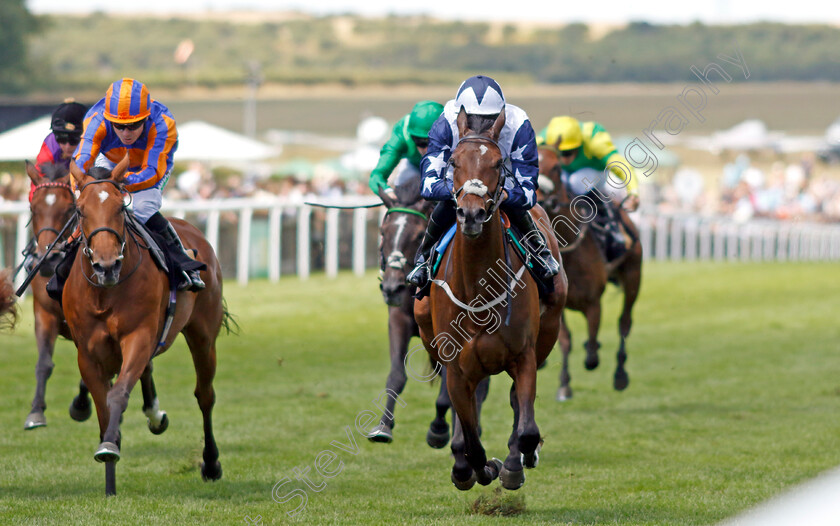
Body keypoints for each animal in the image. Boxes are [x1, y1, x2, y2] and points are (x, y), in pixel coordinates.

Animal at [21, 163, 92, 432]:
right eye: (33, 208)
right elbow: (44, 363)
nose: (48, 259)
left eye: (70, 209)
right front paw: (36, 412)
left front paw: (80, 406)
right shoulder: (44, 313)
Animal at [66, 159, 230, 498]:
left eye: (120, 207)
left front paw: (110, 448)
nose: (106, 266)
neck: (105, 293)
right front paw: (109, 471)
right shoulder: (87, 352)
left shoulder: (138, 337)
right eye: (81, 210)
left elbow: (117, 394)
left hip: (204, 336)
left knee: (205, 395)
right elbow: (103, 407)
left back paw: (210, 463)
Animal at [370, 200, 488, 448]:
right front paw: (384, 426)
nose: (391, 288)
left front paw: (439, 429)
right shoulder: (399, 319)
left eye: (417, 235)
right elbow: (397, 374)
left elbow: (447, 392)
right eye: (383, 232)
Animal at [412, 109, 564, 492]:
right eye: (453, 161)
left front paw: (516, 462)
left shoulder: (524, 356)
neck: (479, 285)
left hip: (549, 329)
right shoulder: (455, 367)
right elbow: (471, 439)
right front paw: (472, 469)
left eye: (497, 163)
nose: (471, 213)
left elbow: (526, 429)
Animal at [540, 146, 644, 402]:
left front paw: (592, 353)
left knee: (624, 322)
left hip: (633, 276)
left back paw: (620, 375)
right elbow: (566, 341)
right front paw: (564, 385)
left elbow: (592, 353)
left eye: (555, 166)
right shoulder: (558, 305)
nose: (541, 197)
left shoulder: (594, 302)